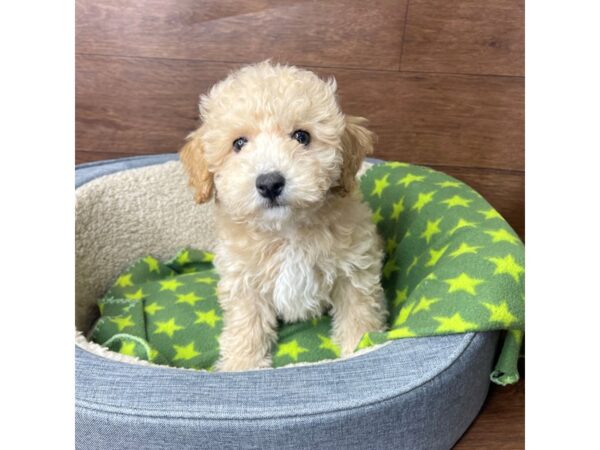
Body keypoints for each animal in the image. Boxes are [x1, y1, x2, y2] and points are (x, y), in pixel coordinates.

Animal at [180, 61, 390, 370]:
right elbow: (246, 324)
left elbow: (358, 312)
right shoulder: (244, 282)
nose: (269, 183)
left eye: (302, 136)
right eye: (239, 143)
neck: (286, 229)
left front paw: (361, 346)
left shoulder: (354, 268)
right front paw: (242, 364)